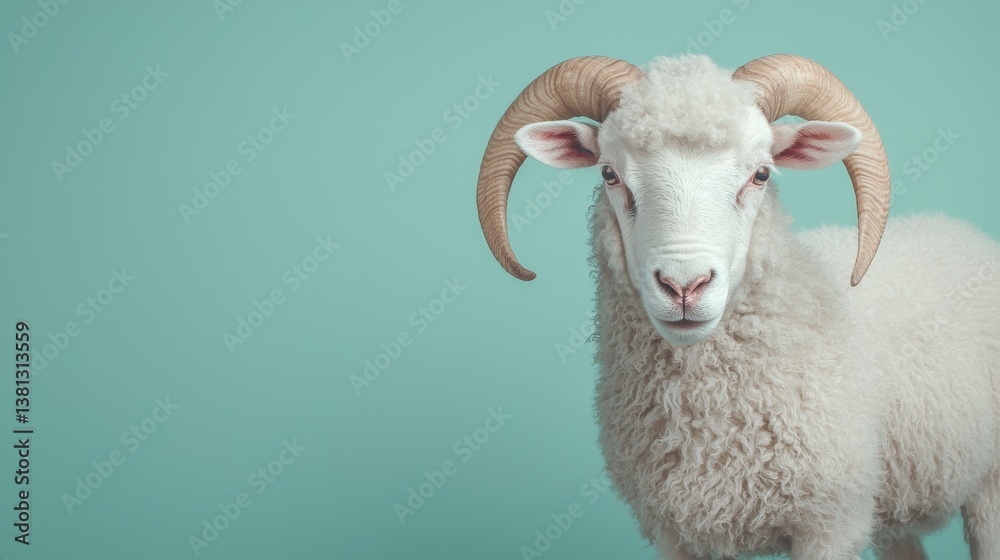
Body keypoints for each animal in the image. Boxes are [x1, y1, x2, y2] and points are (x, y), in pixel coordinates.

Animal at [474, 53, 1000, 560]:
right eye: (609, 173)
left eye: (761, 173)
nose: (684, 285)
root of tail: (952, 227)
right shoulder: (676, 533)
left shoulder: (831, 524)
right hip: (891, 511)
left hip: (987, 486)